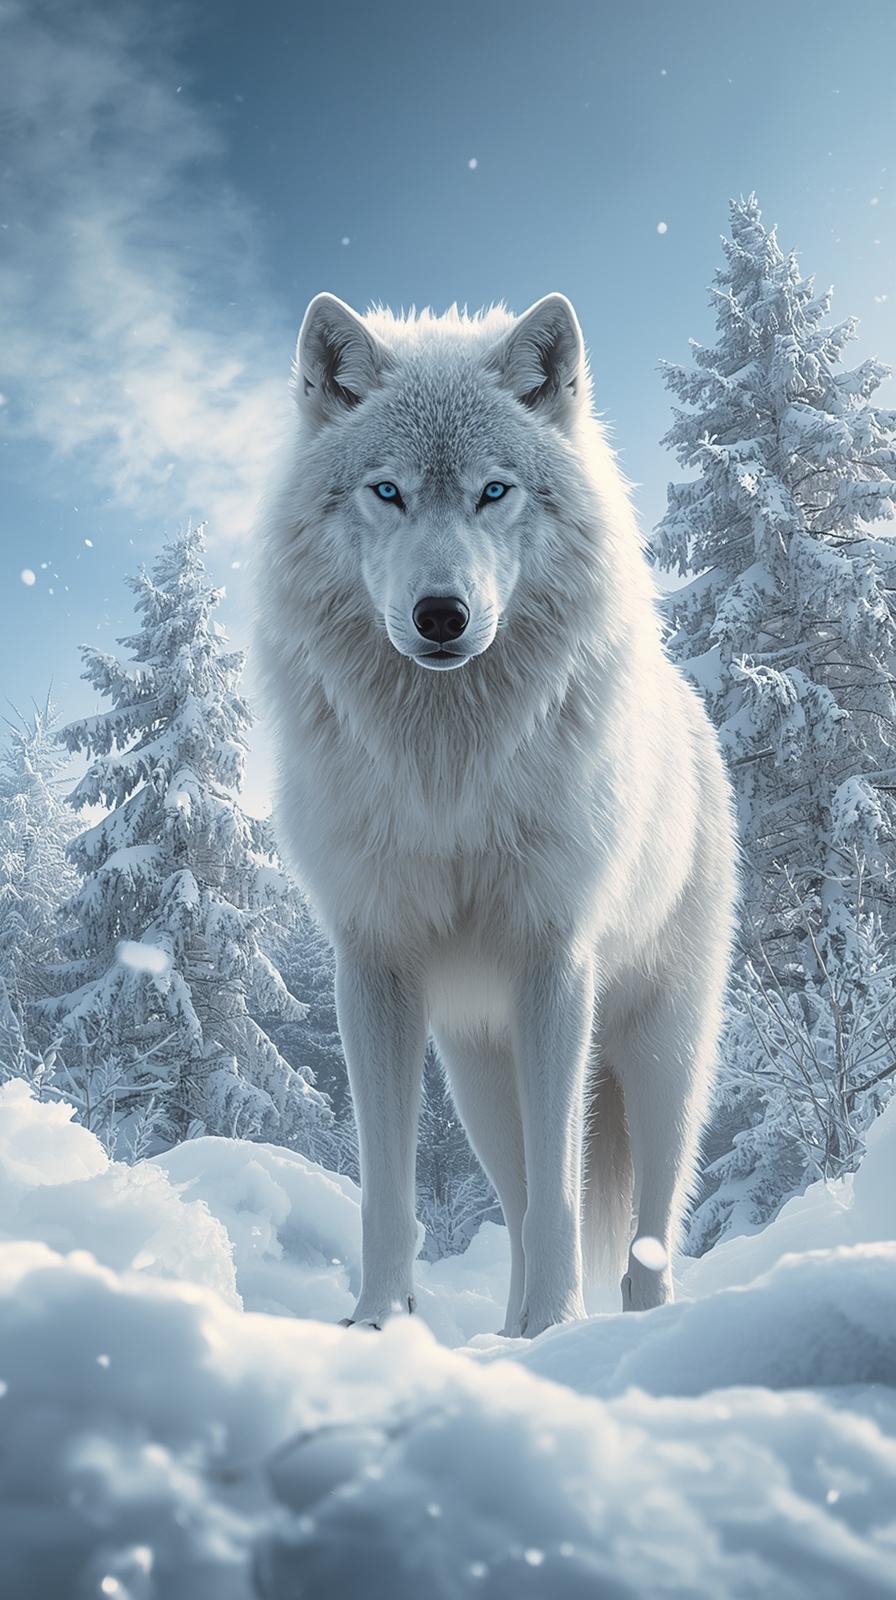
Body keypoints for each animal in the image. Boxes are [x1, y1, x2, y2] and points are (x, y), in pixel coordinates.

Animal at [257, 290, 737, 1338]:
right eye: (387, 491)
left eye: (492, 491)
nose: (442, 614)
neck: (450, 767)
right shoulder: (373, 966)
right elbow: (389, 1190)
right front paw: (377, 1324)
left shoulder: (556, 960)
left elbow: (564, 1190)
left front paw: (561, 1326)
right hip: (477, 1076)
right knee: (514, 1206)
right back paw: (509, 1332)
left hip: (661, 1058)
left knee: (646, 1235)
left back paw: (622, 1328)